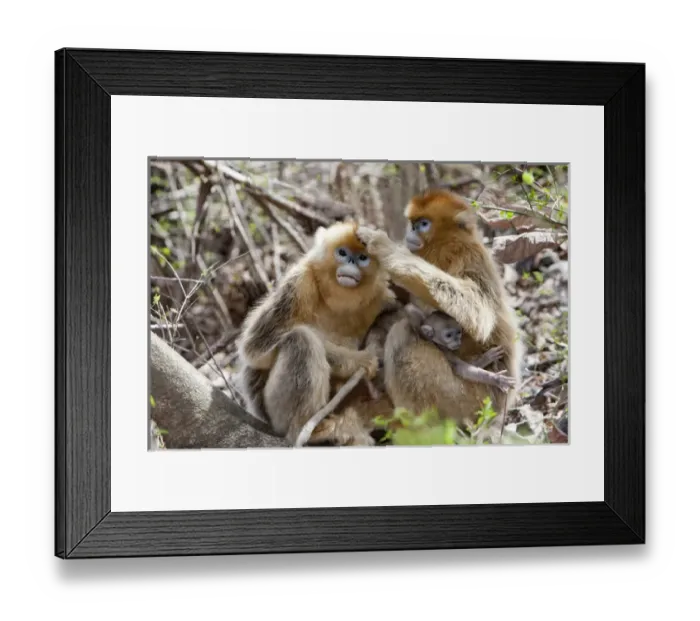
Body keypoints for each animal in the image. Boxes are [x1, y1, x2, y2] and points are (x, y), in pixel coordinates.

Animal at [235, 221, 396, 447]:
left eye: (363, 257)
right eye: (342, 253)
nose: (352, 262)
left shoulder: (380, 294)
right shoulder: (300, 282)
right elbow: (255, 350)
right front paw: (361, 360)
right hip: (276, 413)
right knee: (302, 340)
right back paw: (311, 431)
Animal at [355, 189, 523, 435]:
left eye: (423, 224)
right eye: (413, 223)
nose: (411, 232)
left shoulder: (468, 256)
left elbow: (476, 315)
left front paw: (384, 247)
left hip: (473, 401)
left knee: (402, 334)